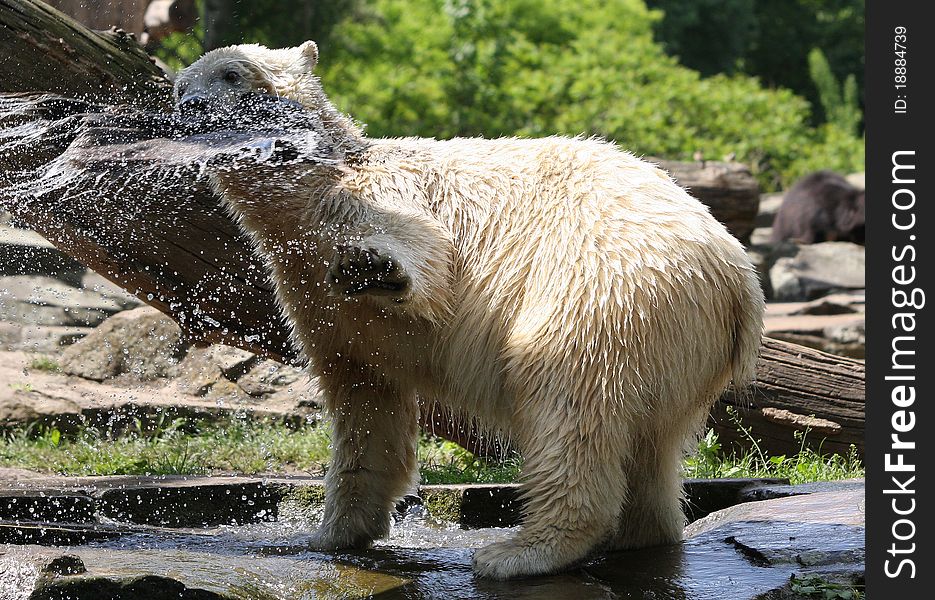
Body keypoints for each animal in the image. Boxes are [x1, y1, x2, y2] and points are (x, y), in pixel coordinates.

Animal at [176, 41, 768, 576]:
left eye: (231, 73)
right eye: (183, 83)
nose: (186, 101)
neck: (307, 200)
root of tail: (738, 277)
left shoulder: (379, 197)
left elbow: (424, 255)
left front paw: (374, 266)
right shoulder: (312, 296)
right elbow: (365, 403)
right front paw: (332, 534)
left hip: (603, 285)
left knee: (566, 390)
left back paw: (520, 551)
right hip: (674, 343)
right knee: (650, 447)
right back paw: (638, 533)